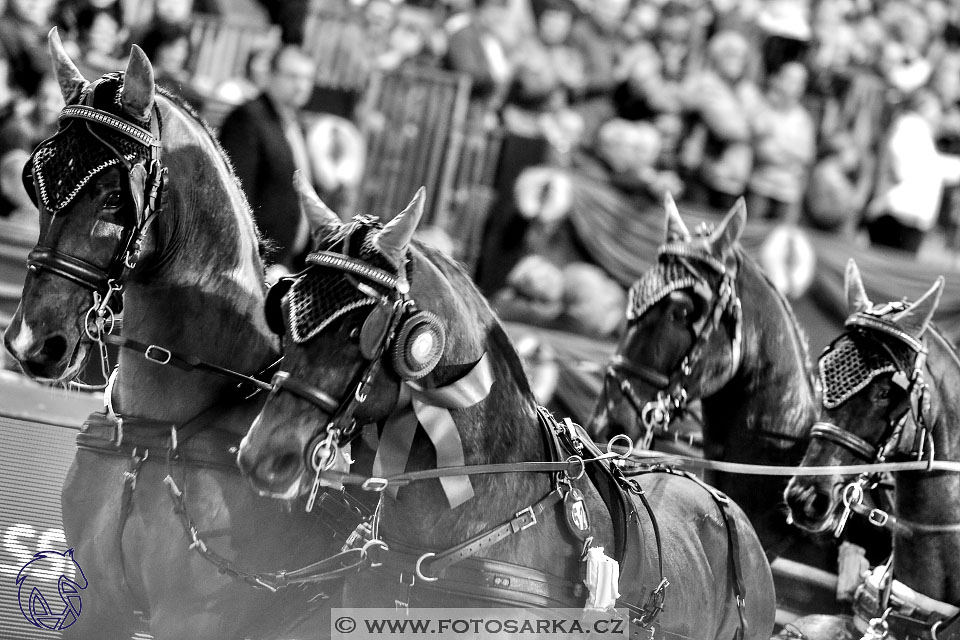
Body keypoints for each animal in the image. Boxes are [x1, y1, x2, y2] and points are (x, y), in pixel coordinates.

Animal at [1, 31, 354, 640]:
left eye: (113, 196)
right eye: (34, 181)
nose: (31, 343)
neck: (158, 433)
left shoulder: (192, 620)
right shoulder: (98, 606)